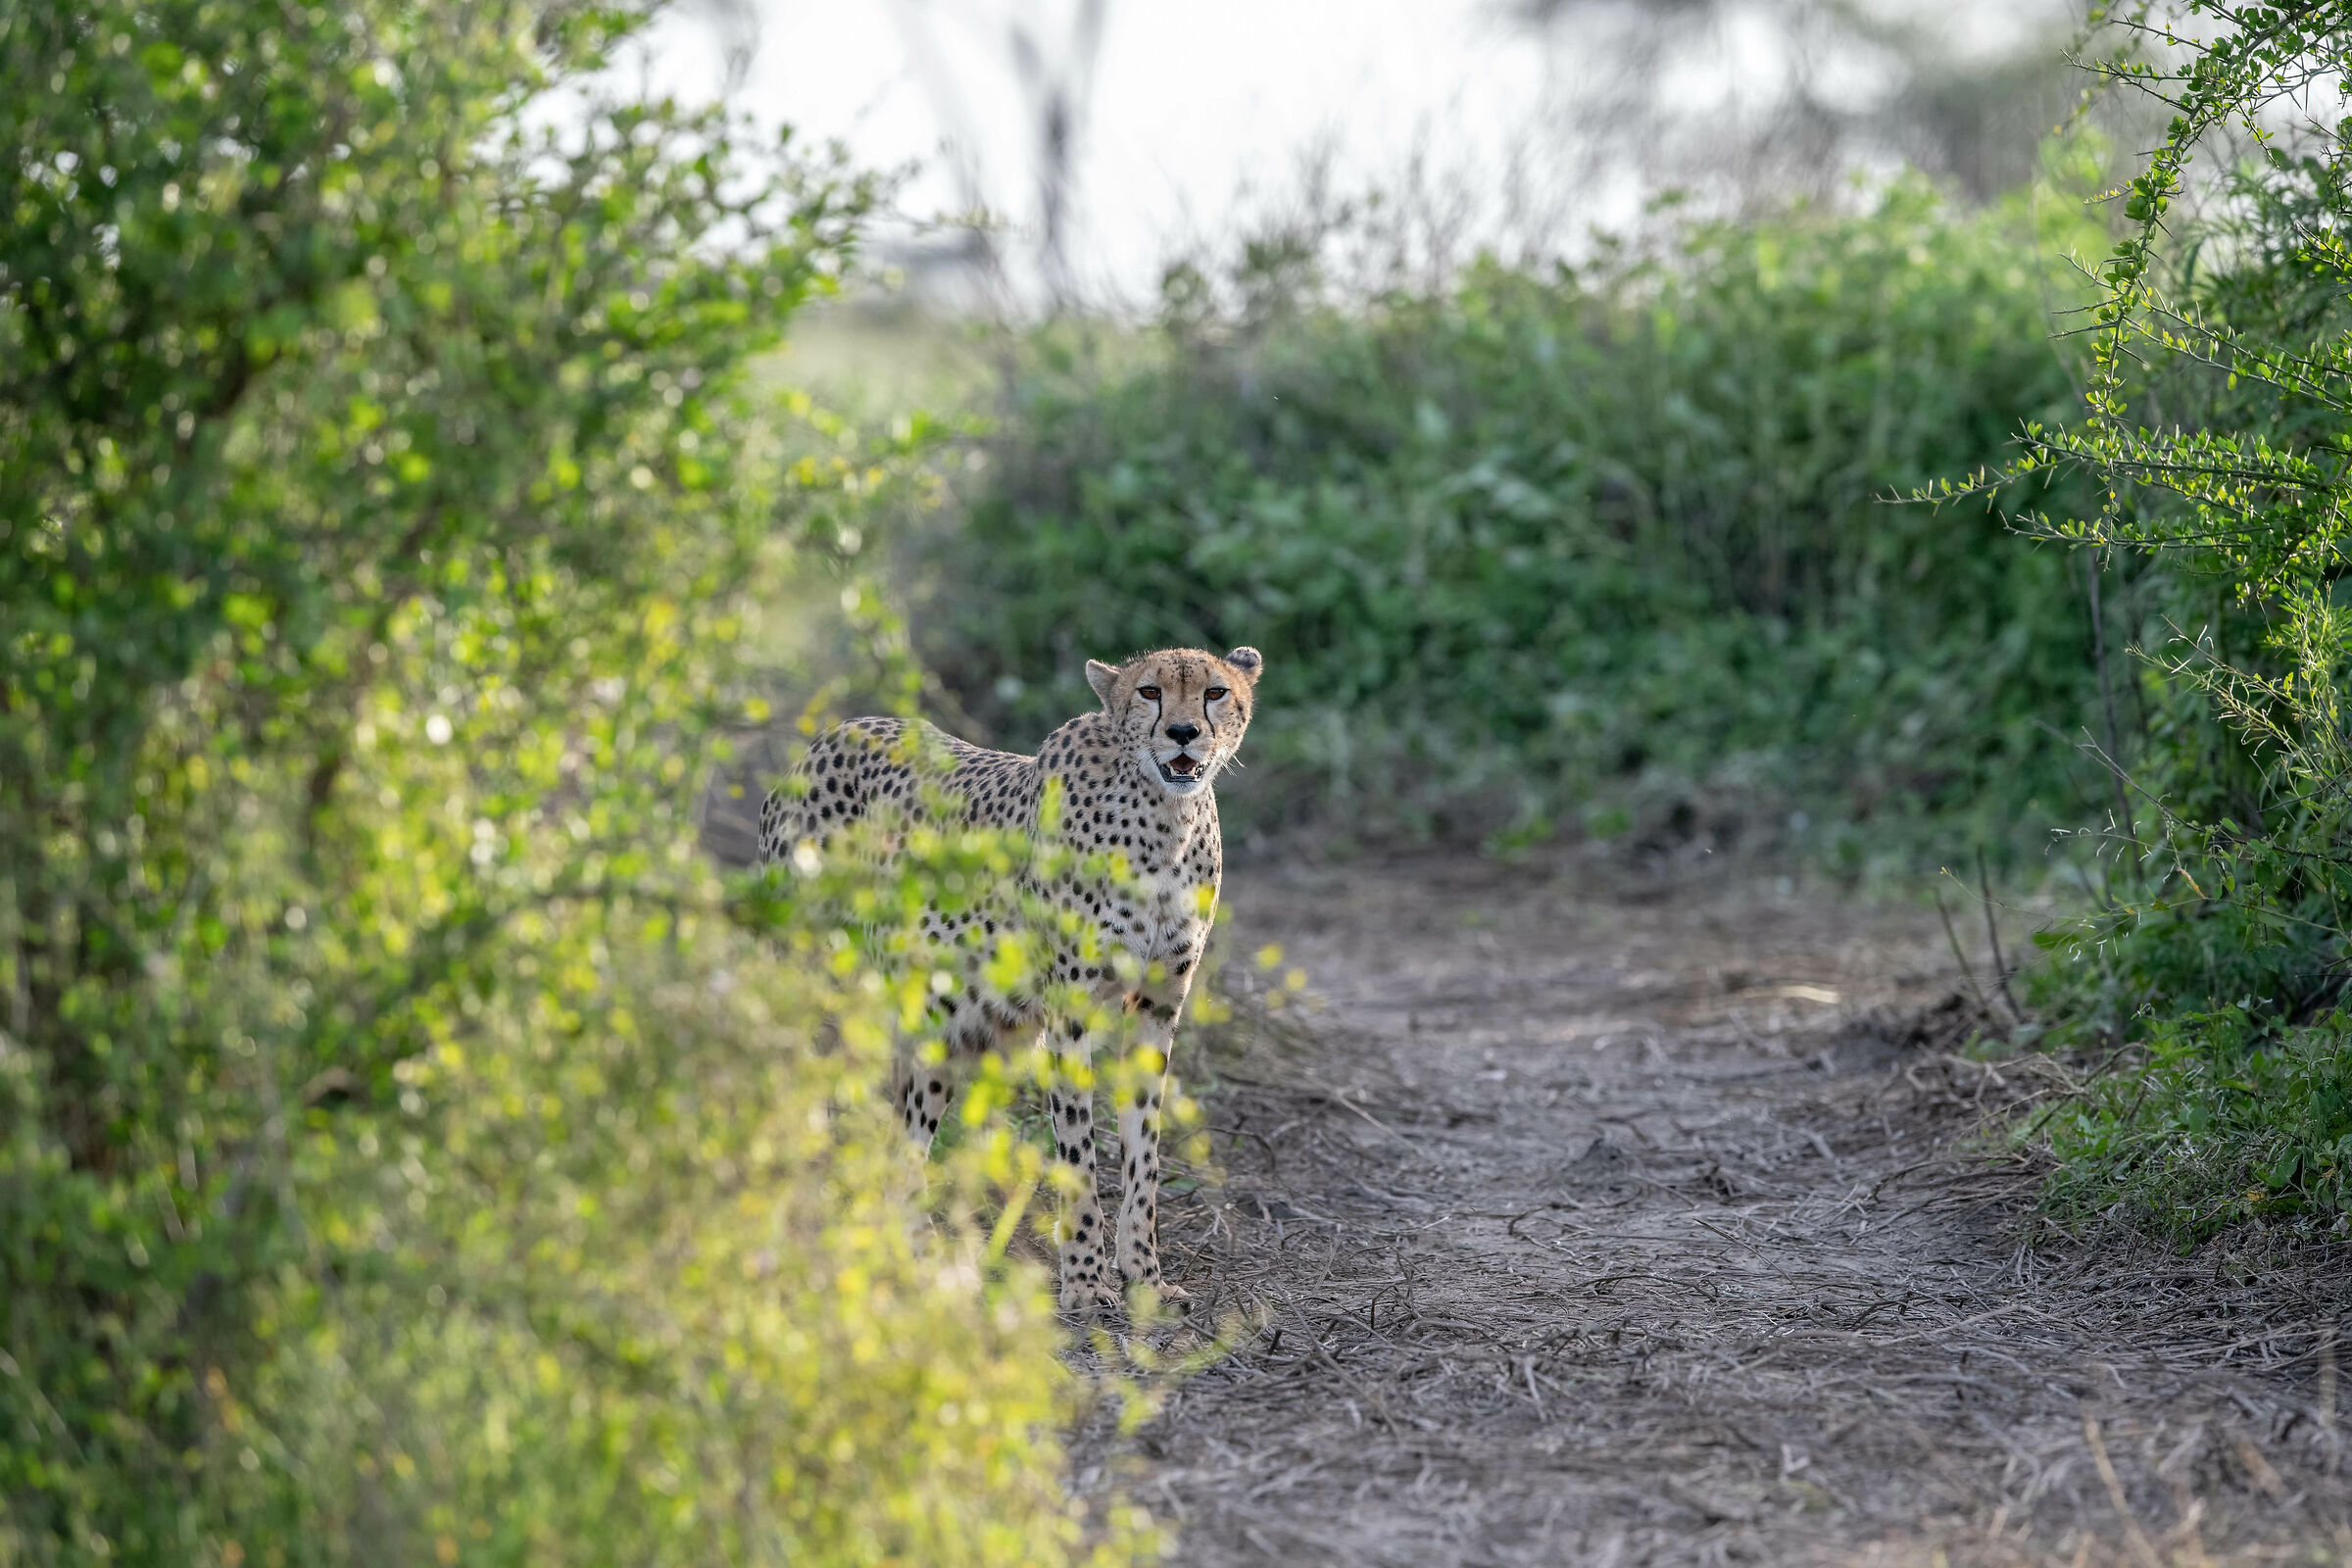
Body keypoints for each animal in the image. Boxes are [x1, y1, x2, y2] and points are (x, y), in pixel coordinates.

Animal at [757, 644, 1263, 1312]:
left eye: (1215, 693)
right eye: (1150, 692)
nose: (1182, 732)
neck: (1164, 819)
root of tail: (833, 733)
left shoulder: (1157, 1006)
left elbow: (1144, 1151)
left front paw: (1144, 1275)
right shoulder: (1069, 1011)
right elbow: (1077, 1151)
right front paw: (1084, 1281)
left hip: (936, 1027)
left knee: (901, 1139)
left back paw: (911, 1250)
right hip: (819, 983)